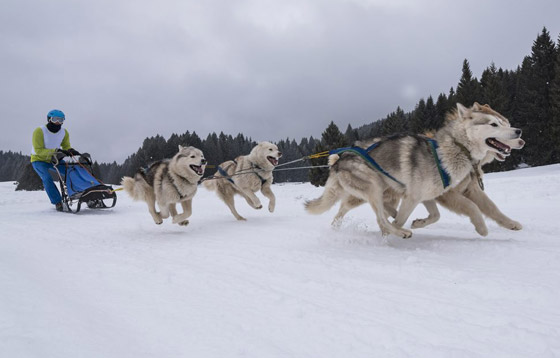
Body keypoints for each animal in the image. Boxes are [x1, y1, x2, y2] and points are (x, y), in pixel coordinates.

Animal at [304, 103, 524, 238]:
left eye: (506, 123)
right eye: (494, 124)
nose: (519, 132)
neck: (455, 149)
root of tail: (338, 159)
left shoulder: (428, 195)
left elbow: (438, 215)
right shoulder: (421, 196)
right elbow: (472, 207)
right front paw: (482, 228)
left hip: (377, 191)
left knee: (362, 210)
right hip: (373, 187)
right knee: (379, 217)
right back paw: (398, 232)